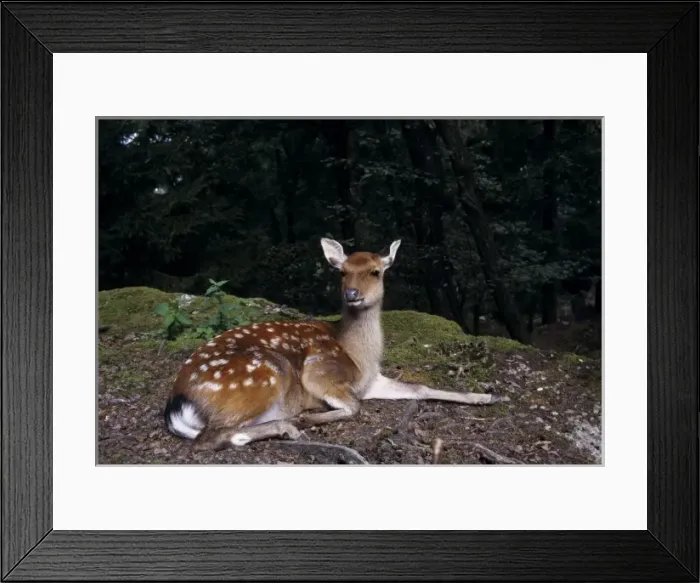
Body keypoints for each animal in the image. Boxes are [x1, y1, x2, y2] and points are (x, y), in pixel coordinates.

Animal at [163, 238, 509, 450]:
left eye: (375, 271)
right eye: (342, 272)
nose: (352, 294)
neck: (360, 356)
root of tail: (179, 402)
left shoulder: (372, 381)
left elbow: (420, 388)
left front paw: (490, 396)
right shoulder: (319, 371)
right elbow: (354, 406)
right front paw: (311, 417)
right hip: (264, 374)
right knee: (210, 437)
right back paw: (289, 425)